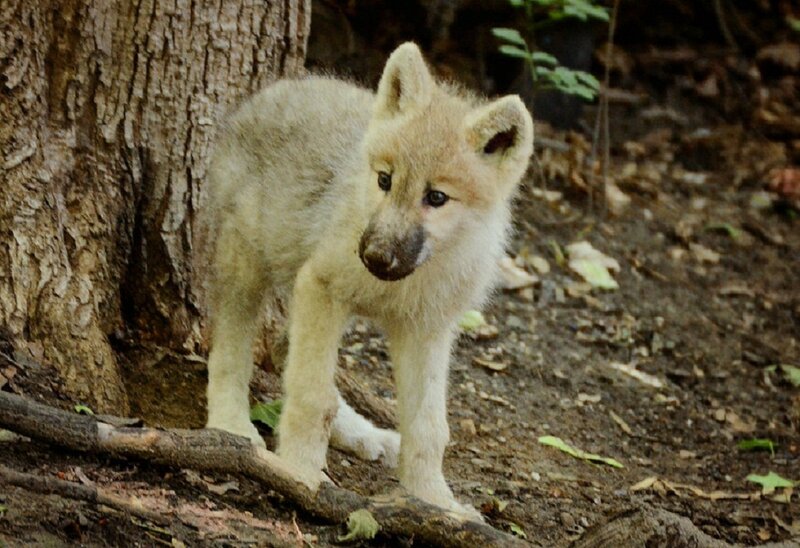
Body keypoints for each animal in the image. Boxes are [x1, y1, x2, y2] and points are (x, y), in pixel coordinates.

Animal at [204, 42, 533, 518]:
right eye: (384, 180)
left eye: (436, 197)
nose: (374, 255)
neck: (403, 284)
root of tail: (273, 90)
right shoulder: (322, 287)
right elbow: (311, 397)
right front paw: (299, 475)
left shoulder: (426, 331)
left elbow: (429, 427)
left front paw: (434, 502)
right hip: (246, 268)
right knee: (230, 352)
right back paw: (231, 428)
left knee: (286, 351)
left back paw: (365, 436)